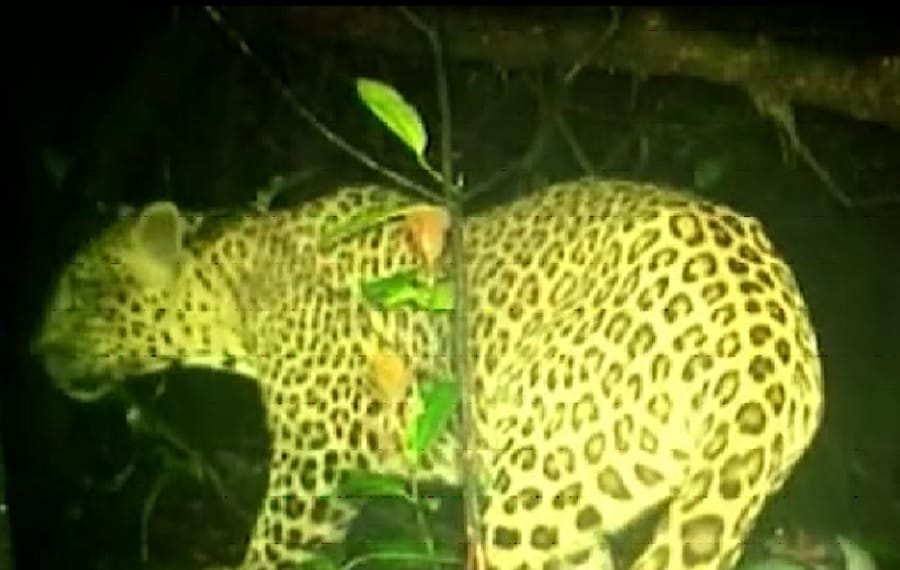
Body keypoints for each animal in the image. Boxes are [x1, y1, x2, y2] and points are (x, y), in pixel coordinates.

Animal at [32, 177, 824, 570]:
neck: (235, 287)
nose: (36, 350)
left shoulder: (315, 469)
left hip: (532, 493)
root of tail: (771, 337)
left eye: (79, 290)